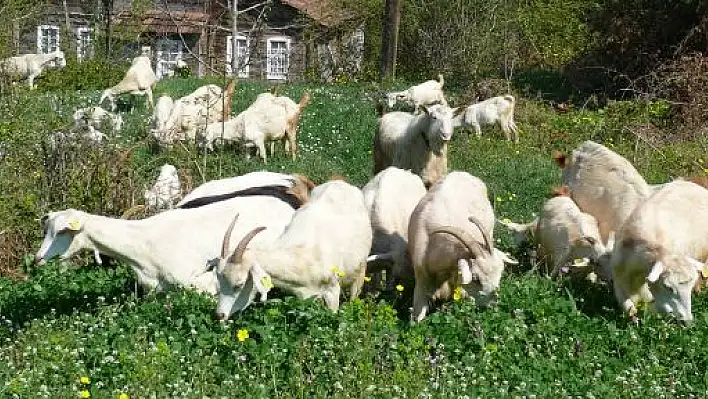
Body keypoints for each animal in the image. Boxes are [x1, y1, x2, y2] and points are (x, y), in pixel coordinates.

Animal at [213, 180, 374, 320]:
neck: (302, 256)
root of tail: (340, 183)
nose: (219, 315)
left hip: (361, 267)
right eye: (219, 279)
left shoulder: (332, 290)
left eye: (239, 284)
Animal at [406, 172, 516, 322]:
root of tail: (461, 173)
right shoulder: (422, 277)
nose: (493, 304)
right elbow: (417, 315)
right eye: (475, 278)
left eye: (500, 273)